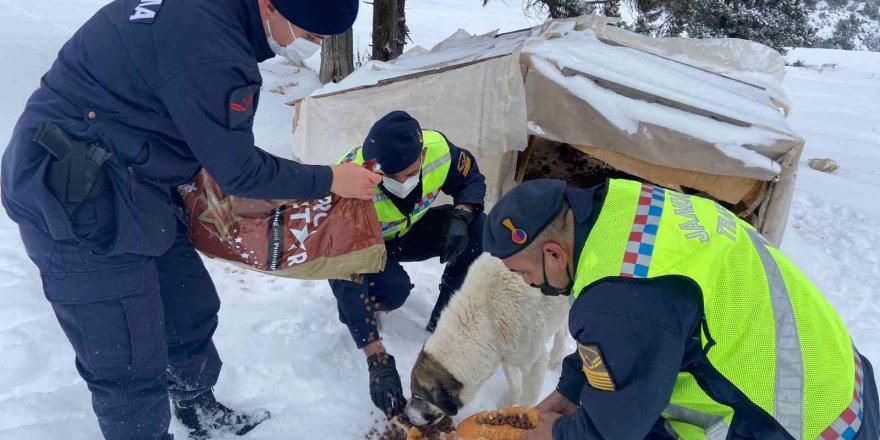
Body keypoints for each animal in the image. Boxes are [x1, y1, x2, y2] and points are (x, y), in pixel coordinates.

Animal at [408, 254, 572, 426]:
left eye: (418, 396)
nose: (407, 416)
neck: (487, 315)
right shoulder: (505, 352)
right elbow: (514, 383)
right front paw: (507, 404)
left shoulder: (534, 362)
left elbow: (527, 401)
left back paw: (555, 360)